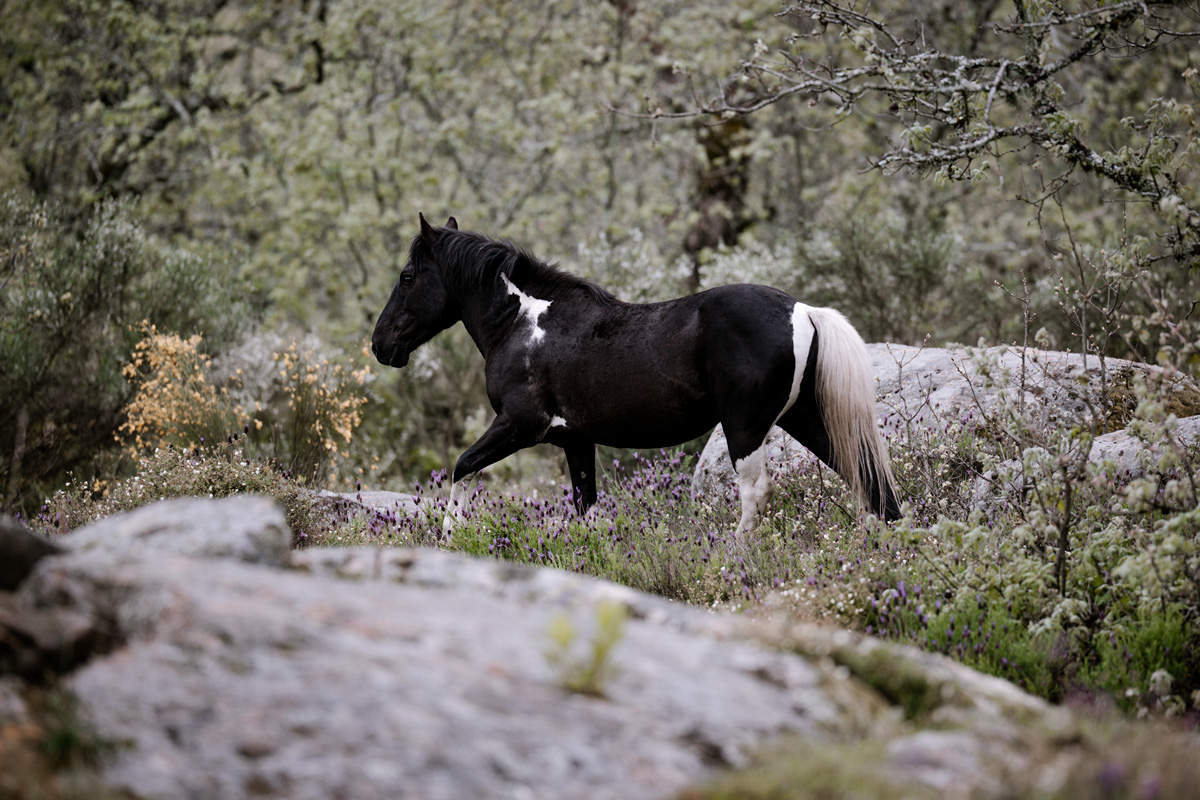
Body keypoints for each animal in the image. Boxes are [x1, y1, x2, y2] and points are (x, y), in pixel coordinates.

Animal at [371, 214, 901, 538]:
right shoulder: (574, 440)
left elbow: (461, 468)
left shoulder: (520, 425)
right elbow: (585, 506)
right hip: (805, 419)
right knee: (871, 482)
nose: (380, 345)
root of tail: (803, 310)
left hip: (746, 428)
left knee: (757, 495)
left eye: (407, 276)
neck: (525, 322)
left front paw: (449, 536)